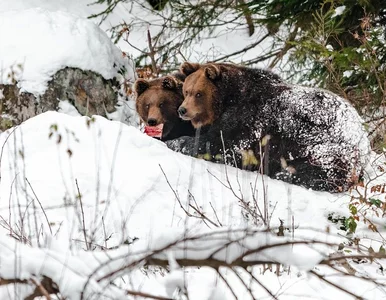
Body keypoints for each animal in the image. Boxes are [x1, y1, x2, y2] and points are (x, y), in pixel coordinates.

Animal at [167, 61, 370, 192]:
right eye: (187, 90)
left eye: (199, 94)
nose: (182, 110)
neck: (227, 99)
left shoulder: (248, 119)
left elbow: (221, 145)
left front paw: (177, 142)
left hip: (325, 147)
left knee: (321, 172)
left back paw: (284, 175)